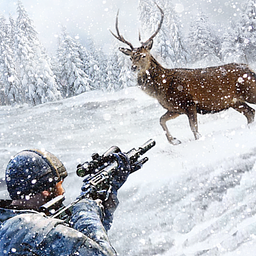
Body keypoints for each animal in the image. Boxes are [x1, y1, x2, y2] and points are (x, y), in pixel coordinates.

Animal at [111, 4, 256, 144]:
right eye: (131, 57)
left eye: (143, 55)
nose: (133, 67)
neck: (162, 88)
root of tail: (249, 68)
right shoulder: (175, 108)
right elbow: (161, 120)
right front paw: (174, 141)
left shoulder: (188, 102)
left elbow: (194, 129)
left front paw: (196, 140)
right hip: (235, 101)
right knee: (250, 113)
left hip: (249, 90)